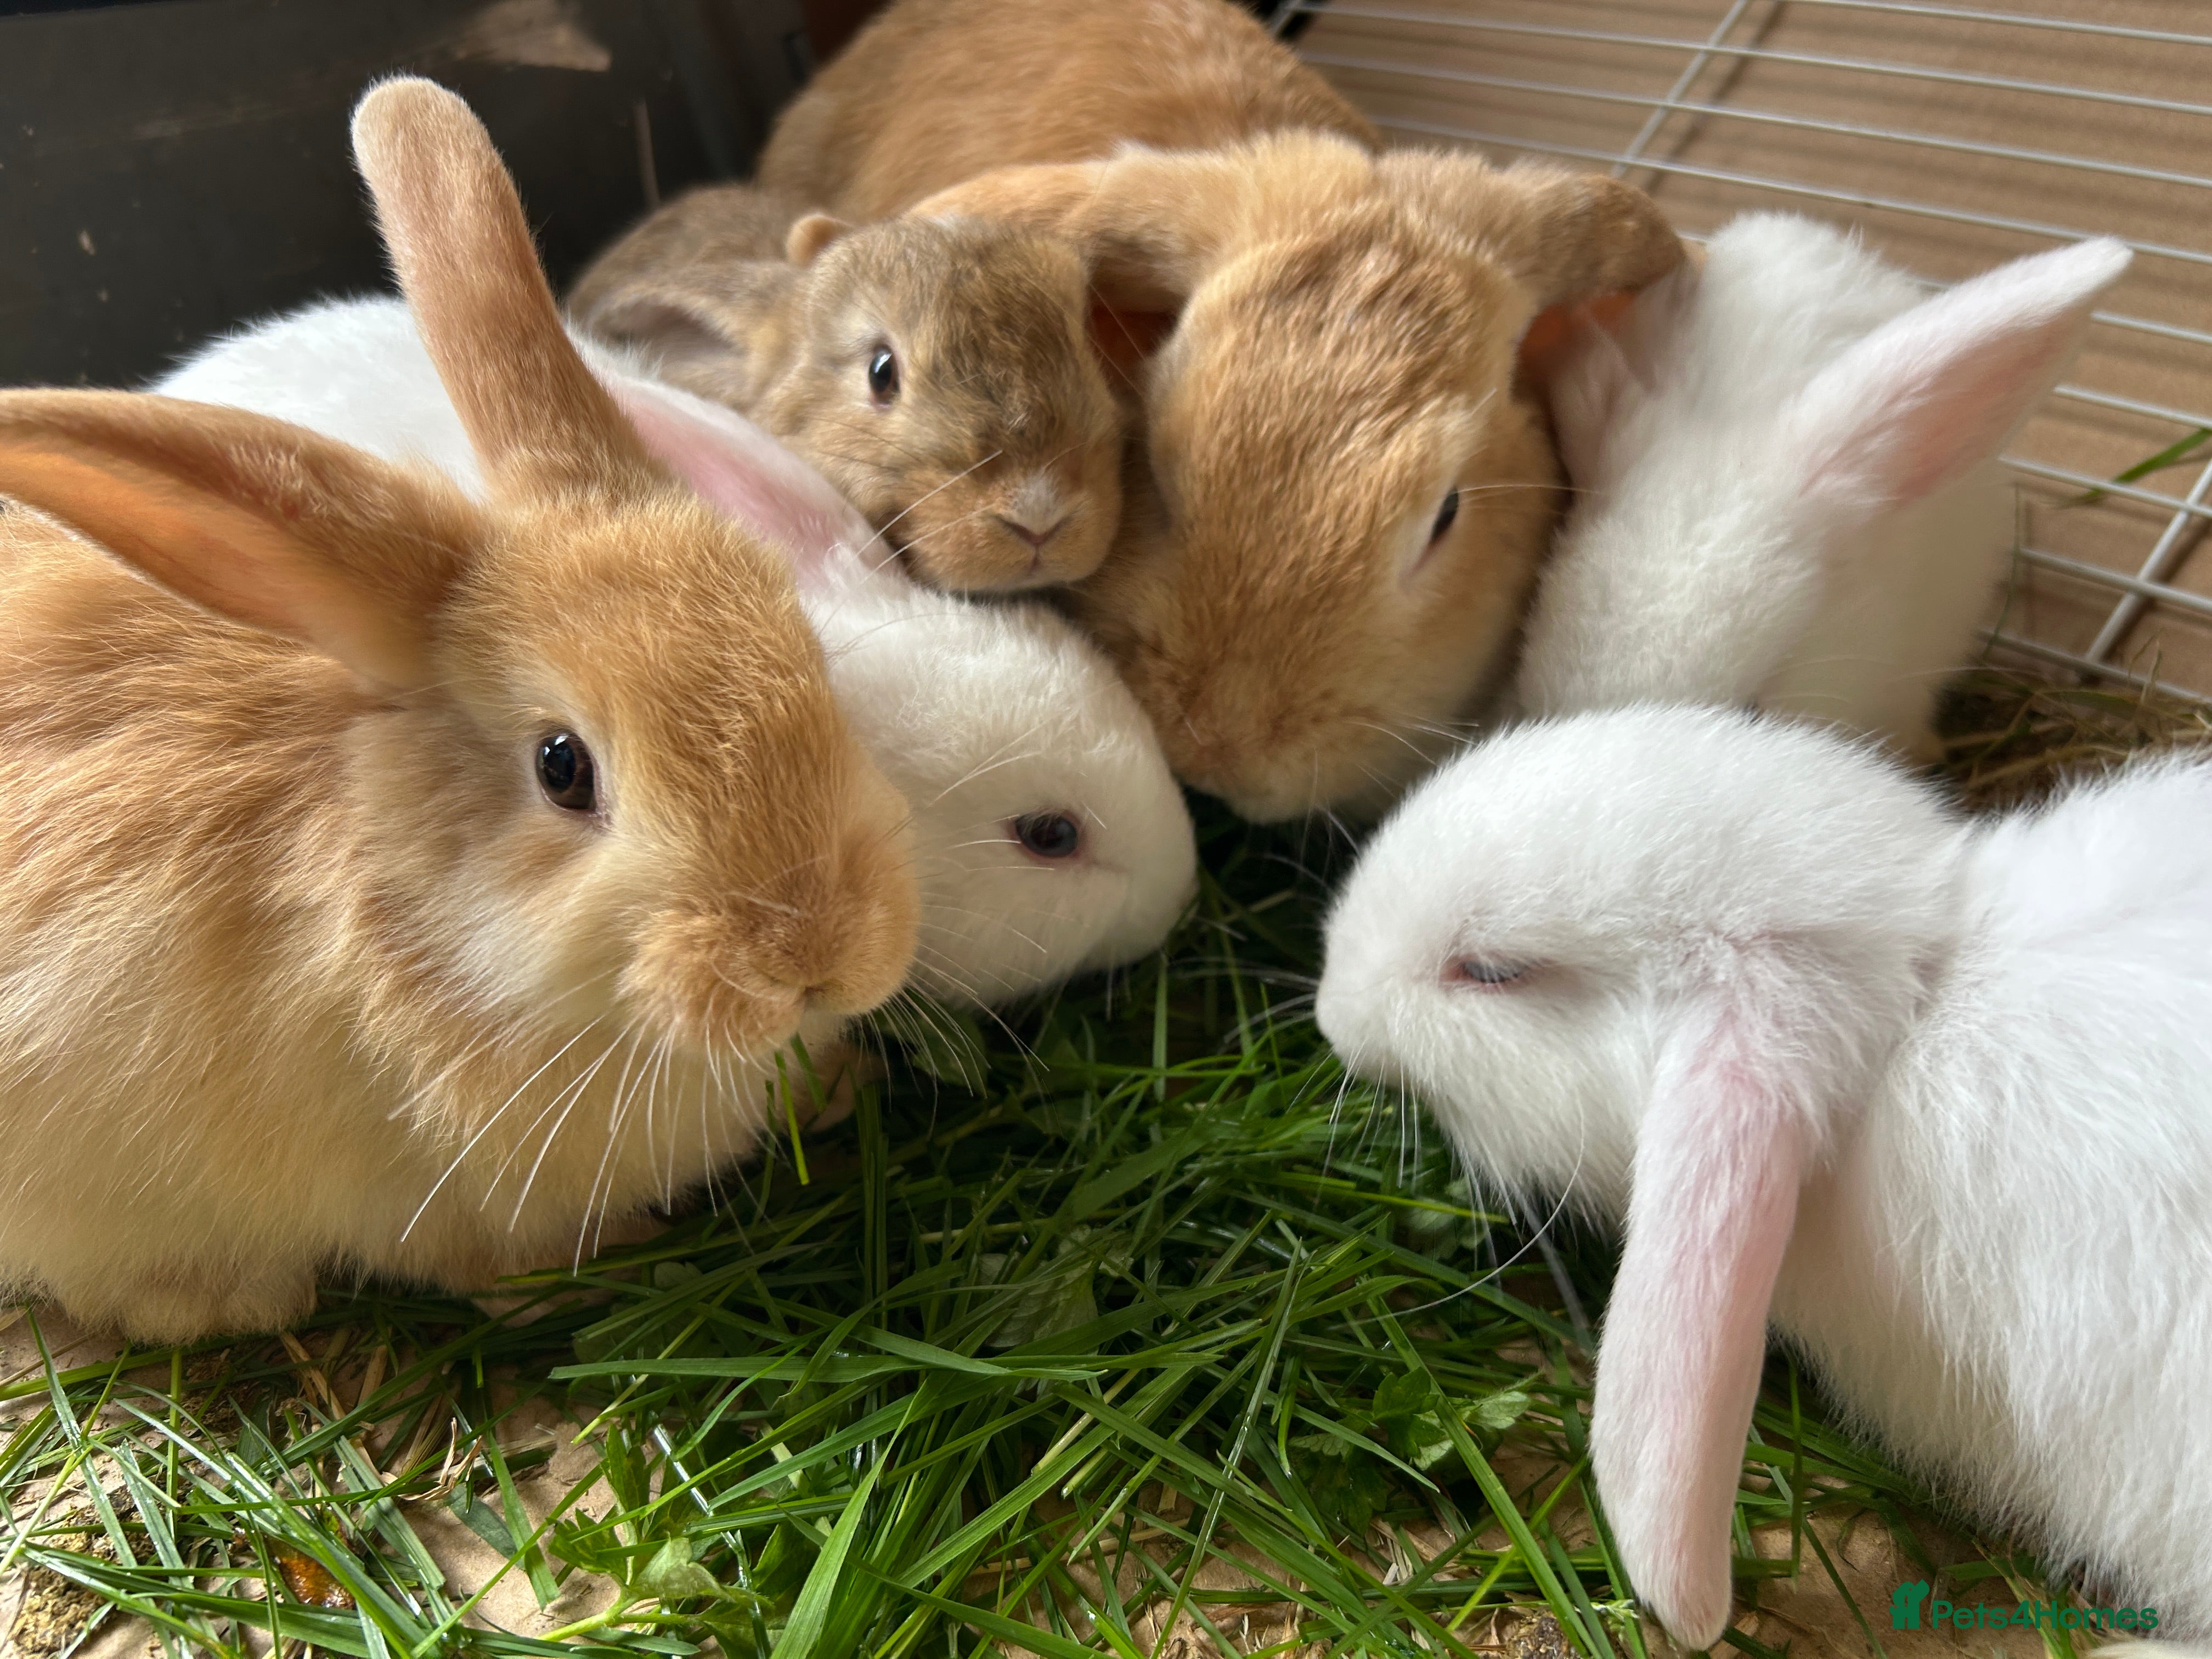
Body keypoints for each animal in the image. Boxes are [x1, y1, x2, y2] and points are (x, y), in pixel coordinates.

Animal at [0, 78, 919, 1345]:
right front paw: (605, 1273)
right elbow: (487, 1266)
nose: (817, 961)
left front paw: (839, 1087)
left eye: (807, 652)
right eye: (562, 767)